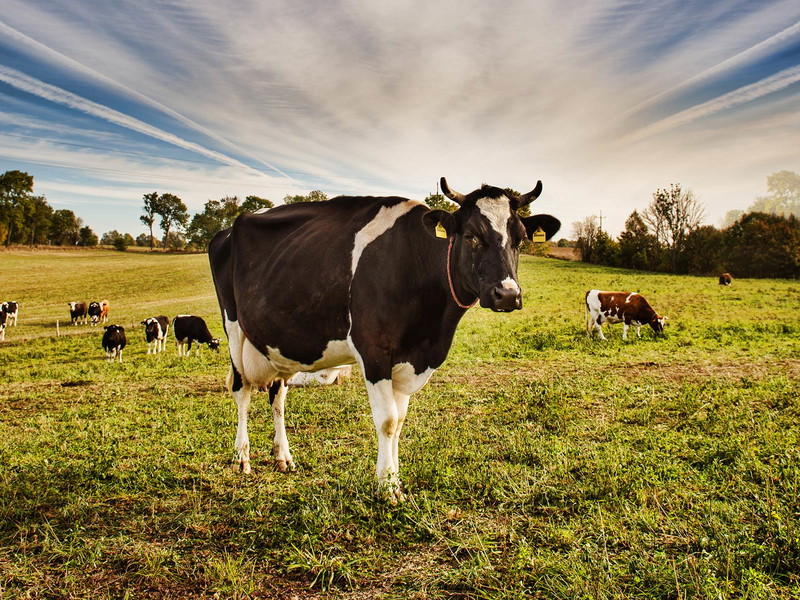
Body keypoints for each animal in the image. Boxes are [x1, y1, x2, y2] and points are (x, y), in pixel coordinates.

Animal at [208, 176, 561, 501]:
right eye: (472, 235)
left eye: (520, 238)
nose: (508, 295)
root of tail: (228, 228)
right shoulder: (373, 350)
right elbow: (388, 421)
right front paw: (388, 487)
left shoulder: (410, 356)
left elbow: (400, 420)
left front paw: (394, 480)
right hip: (234, 329)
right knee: (241, 392)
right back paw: (242, 457)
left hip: (279, 343)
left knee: (278, 396)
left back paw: (283, 456)